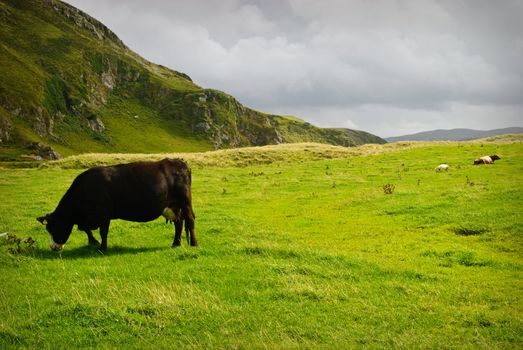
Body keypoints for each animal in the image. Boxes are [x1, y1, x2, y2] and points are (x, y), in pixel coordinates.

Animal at [36, 159, 196, 252]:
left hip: (185, 202)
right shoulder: (90, 217)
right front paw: (93, 242)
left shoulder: (103, 214)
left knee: (190, 219)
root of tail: (179, 161)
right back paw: (176, 243)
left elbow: (103, 232)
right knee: (179, 223)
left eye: (53, 227)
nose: (53, 247)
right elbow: (85, 229)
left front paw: (102, 247)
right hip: (174, 206)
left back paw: (194, 243)